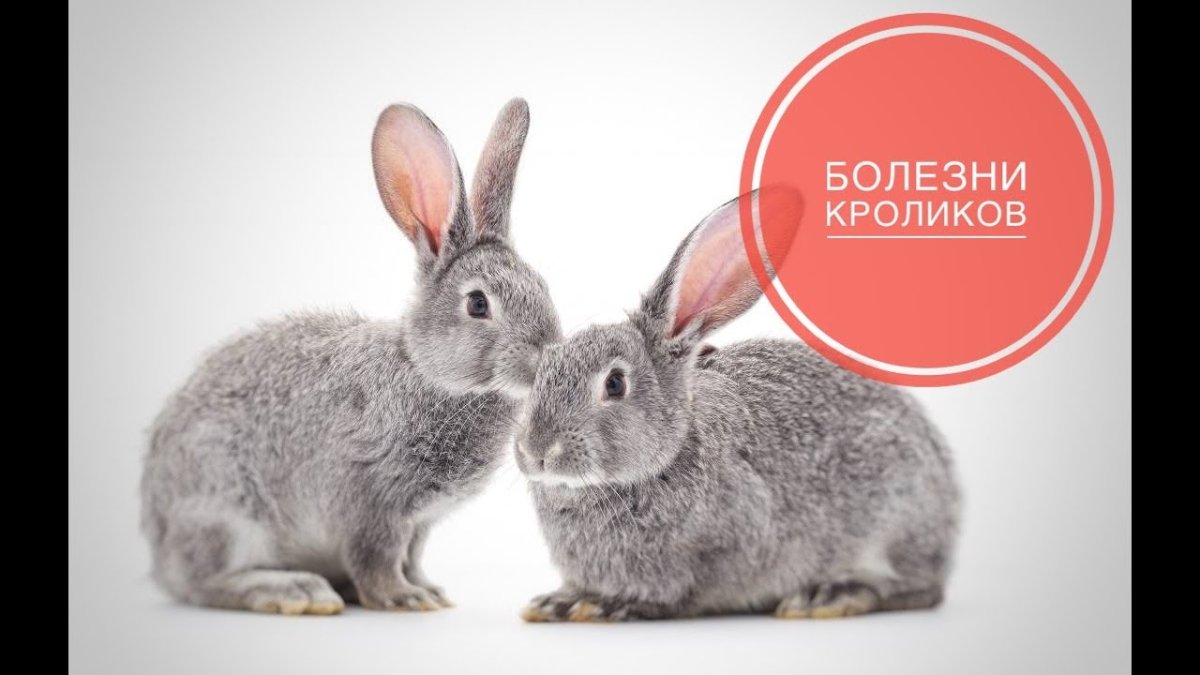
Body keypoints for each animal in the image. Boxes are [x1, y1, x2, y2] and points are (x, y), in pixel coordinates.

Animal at [140, 98, 561, 615]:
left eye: (541, 286)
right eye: (478, 304)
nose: (546, 352)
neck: (425, 370)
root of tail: (157, 541)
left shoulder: (419, 523)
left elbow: (411, 557)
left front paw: (429, 591)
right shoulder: (371, 502)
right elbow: (377, 558)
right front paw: (404, 598)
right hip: (225, 511)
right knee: (205, 581)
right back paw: (294, 591)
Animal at [515, 190, 960, 621]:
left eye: (614, 383)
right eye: (541, 373)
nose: (536, 452)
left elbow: (678, 594)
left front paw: (601, 605)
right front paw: (557, 601)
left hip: (897, 518)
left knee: (916, 588)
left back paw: (829, 595)